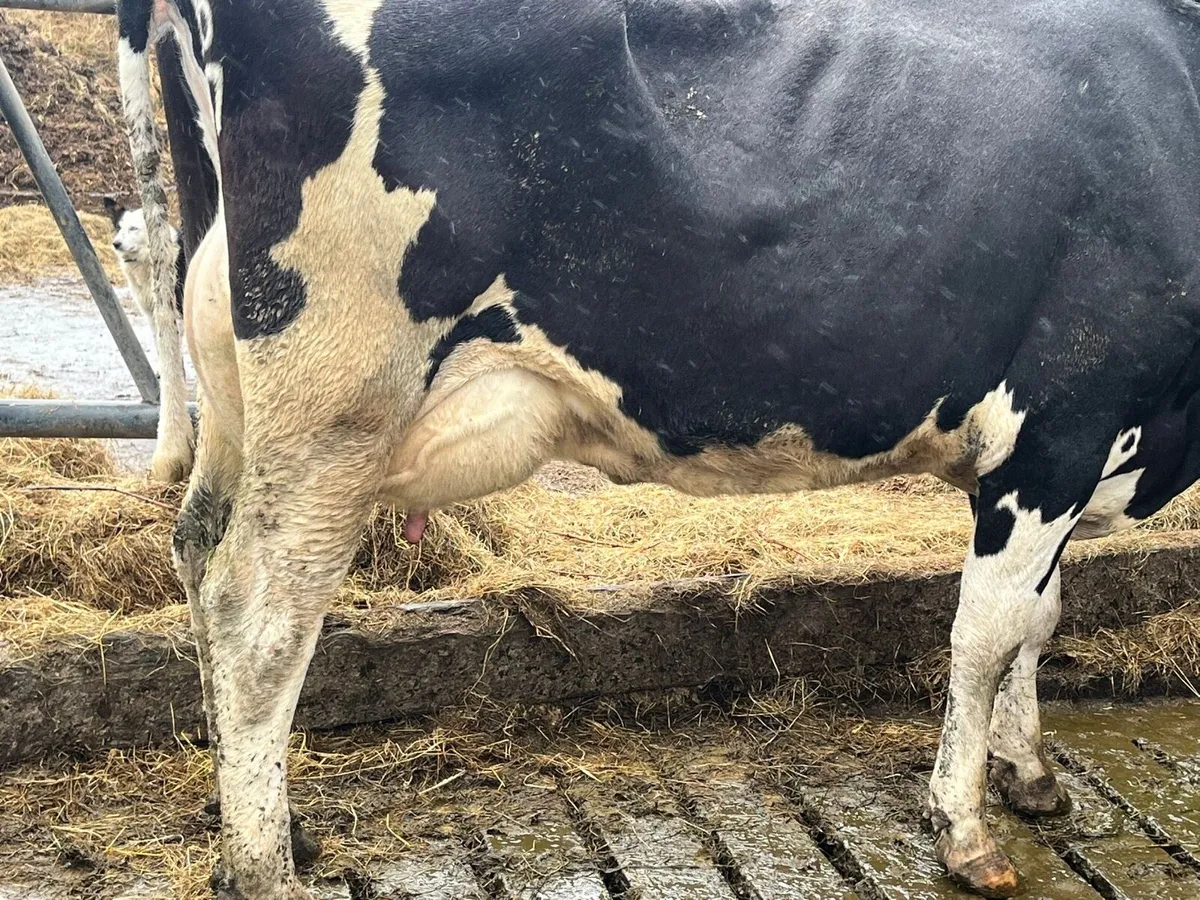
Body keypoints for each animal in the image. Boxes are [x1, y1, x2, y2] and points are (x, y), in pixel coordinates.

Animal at [116, 0, 1200, 896]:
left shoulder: (1052, 459)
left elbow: (1039, 620)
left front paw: (1030, 774)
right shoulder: (1058, 427)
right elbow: (987, 633)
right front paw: (966, 829)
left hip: (237, 388)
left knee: (196, 551)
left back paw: (263, 824)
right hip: (336, 401)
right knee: (258, 616)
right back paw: (263, 866)